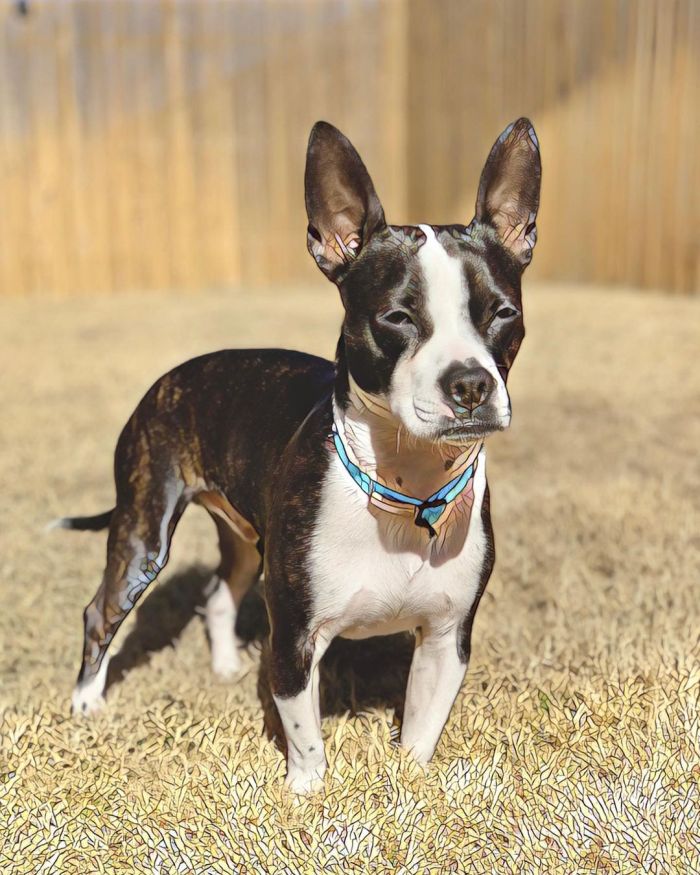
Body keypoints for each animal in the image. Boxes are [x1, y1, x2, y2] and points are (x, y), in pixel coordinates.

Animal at [60, 120, 540, 796]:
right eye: (397, 316)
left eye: (503, 314)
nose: (470, 382)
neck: (405, 488)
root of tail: (171, 376)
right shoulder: (293, 637)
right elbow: (304, 729)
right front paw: (308, 793)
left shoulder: (448, 640)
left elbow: (421, 732)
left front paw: (410, 787)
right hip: (142, 532)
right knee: (101, 611)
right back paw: (87, 700)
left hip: (243, 537)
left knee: (219, 591)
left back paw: (224, 665)